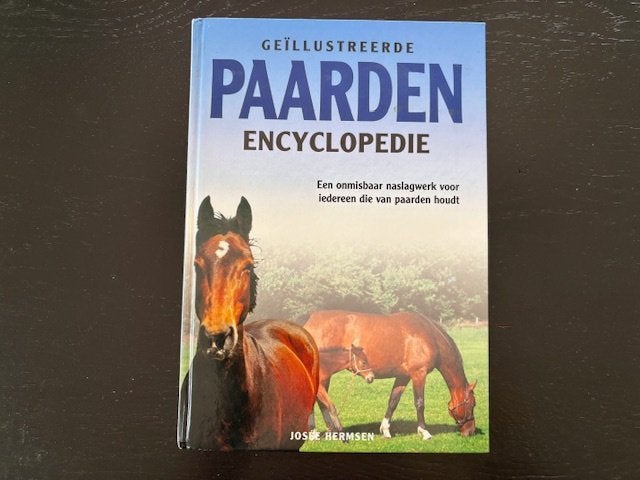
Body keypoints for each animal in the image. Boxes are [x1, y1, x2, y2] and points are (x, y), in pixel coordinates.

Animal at [303, 310, 477, 439]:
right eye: (473, 404)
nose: (470, 432)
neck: (429, 336)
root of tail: (309, 319)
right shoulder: (419, 374)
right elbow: (420, 403)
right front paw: (424, 432)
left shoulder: (403, 376)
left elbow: (393, 401)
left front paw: (385, 430)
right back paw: (316, 433)